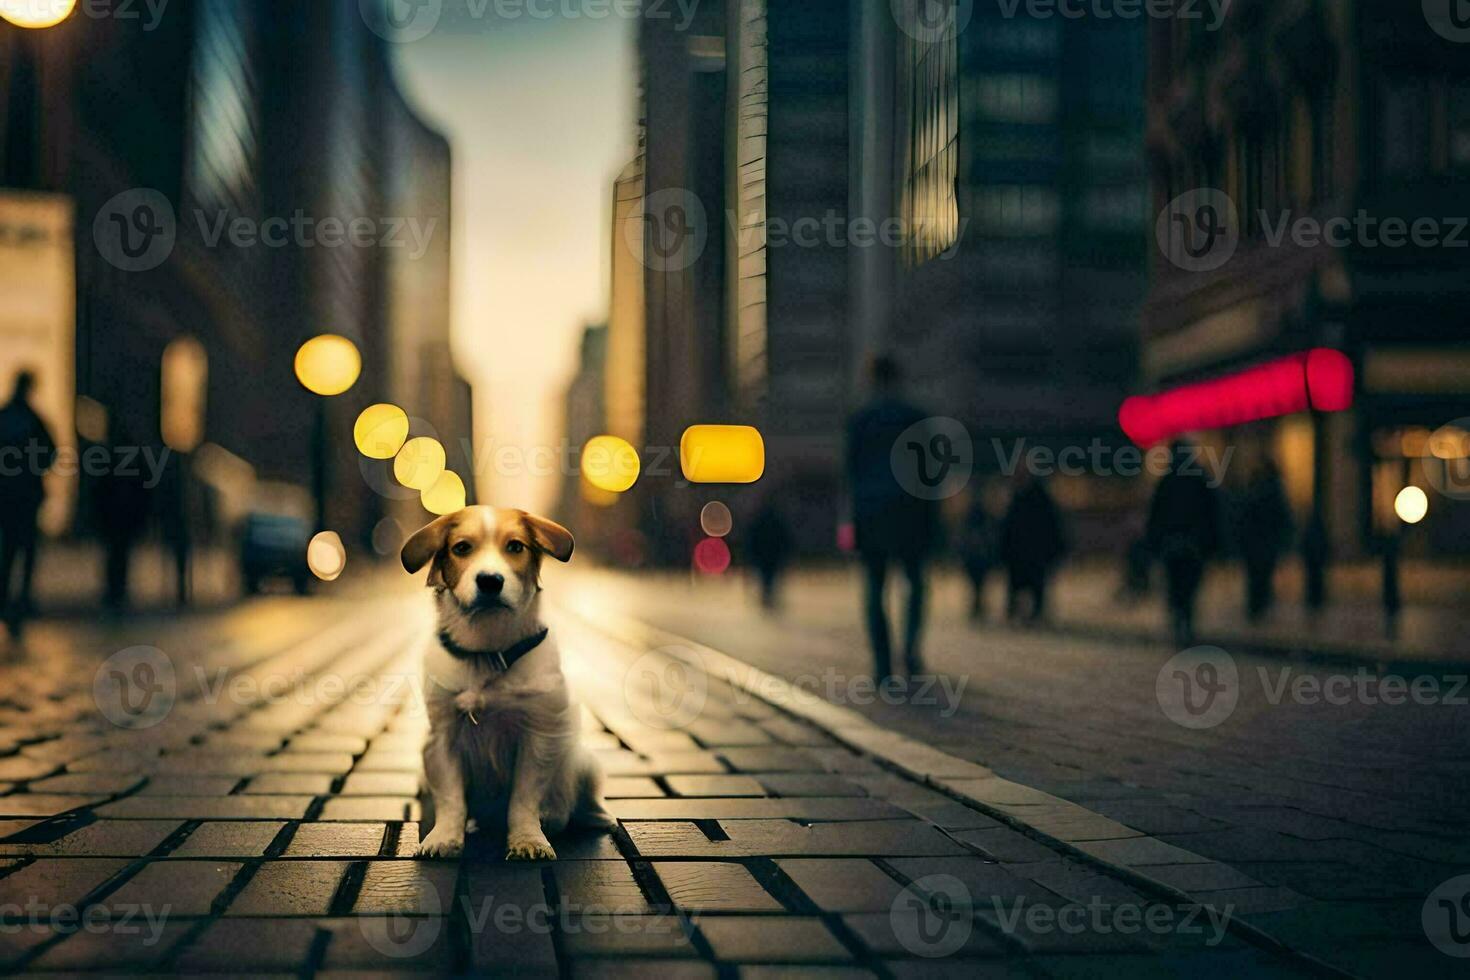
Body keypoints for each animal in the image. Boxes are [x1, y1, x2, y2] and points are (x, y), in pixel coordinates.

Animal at [399, 505, 617, 858]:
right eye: (461, 548)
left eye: (515, 546)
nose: (490, 580)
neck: (487, 651)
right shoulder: (441, 741)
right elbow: (451, 798)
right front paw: (443, 837)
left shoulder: (537, 738)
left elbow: (523, 799)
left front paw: (528, 839)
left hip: (583, 760)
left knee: (581, 801)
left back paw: (591, 818)